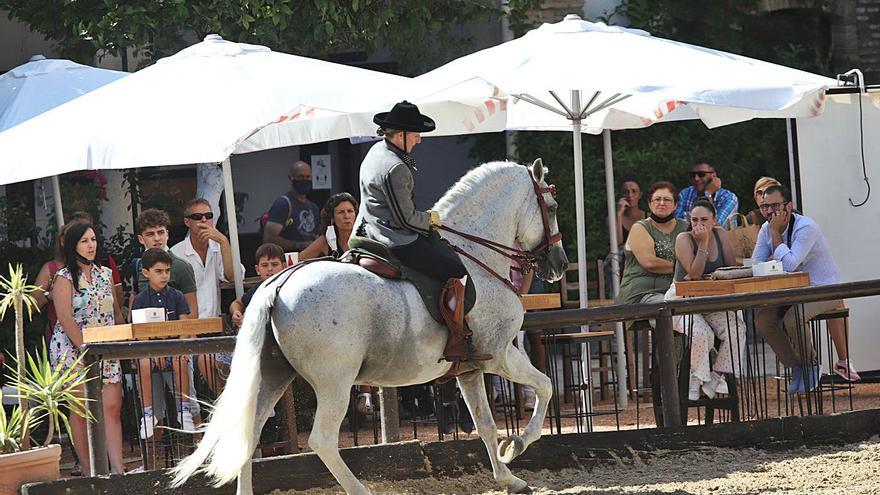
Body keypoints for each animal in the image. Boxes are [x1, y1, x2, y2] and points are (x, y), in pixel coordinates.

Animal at [172, 160, 572, 495]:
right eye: (552, 208)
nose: (560, 264)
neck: (477, 257)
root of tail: (279, 284)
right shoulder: (500, 355)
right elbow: (545, 386)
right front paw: (517, 445)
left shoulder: (470, 369)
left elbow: (487, 424)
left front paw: (508, 476)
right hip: (335, 382)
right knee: (322, 440)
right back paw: (359, 489)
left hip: (273, 376)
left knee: (249, 435)